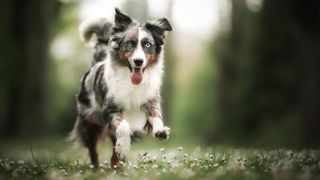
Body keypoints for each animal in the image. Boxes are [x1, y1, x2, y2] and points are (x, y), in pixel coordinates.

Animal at [70, 8, 172, 169]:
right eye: (130, 44)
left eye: (147, 45)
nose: (138, 61)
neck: (130, 81)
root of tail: (96, 64)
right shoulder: (109, 109)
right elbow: (123, 126)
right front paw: (124, 148)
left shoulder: (150, 100)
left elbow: (156, 115)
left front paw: (160, 131)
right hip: (90, 120)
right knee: (93, 147)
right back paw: (96, 168)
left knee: (113, 149)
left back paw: (116, 167)